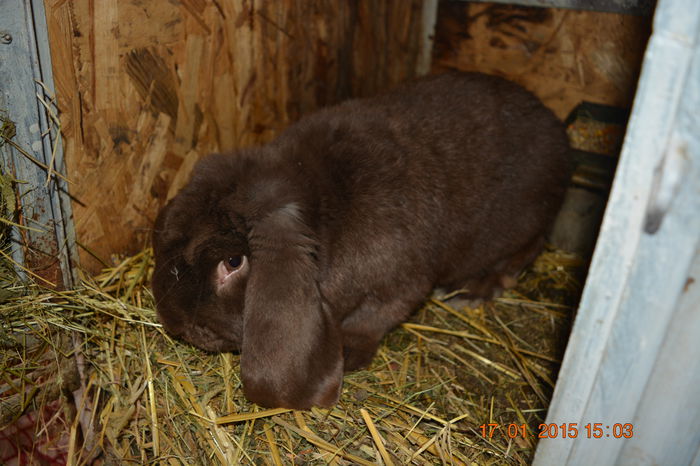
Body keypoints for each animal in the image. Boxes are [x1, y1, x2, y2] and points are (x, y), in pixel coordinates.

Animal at [152, 71, 568, 410]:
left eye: (233, 263)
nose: (174, 321)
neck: (319, 204)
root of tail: (559, 133)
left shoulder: (398, 288)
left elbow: (372, 320)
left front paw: (347, 354)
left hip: (525, 223)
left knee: (526, 250)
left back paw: (474, 290)